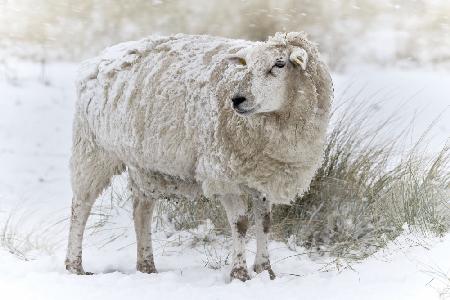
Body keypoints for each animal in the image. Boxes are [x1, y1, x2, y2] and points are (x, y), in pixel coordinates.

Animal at [65, 32, 332, 282]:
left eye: (279, 64)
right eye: (247, 65)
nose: (237, 99)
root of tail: (102, 57)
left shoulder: (263, 176)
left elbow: (265, 223)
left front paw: (265, 270)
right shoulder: (223, 175)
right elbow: (240, 224)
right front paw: (239, 273)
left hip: (144, 162)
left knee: (142, 209)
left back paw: (147, 266)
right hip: (93, 150)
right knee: (81, 206)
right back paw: (75, 266)